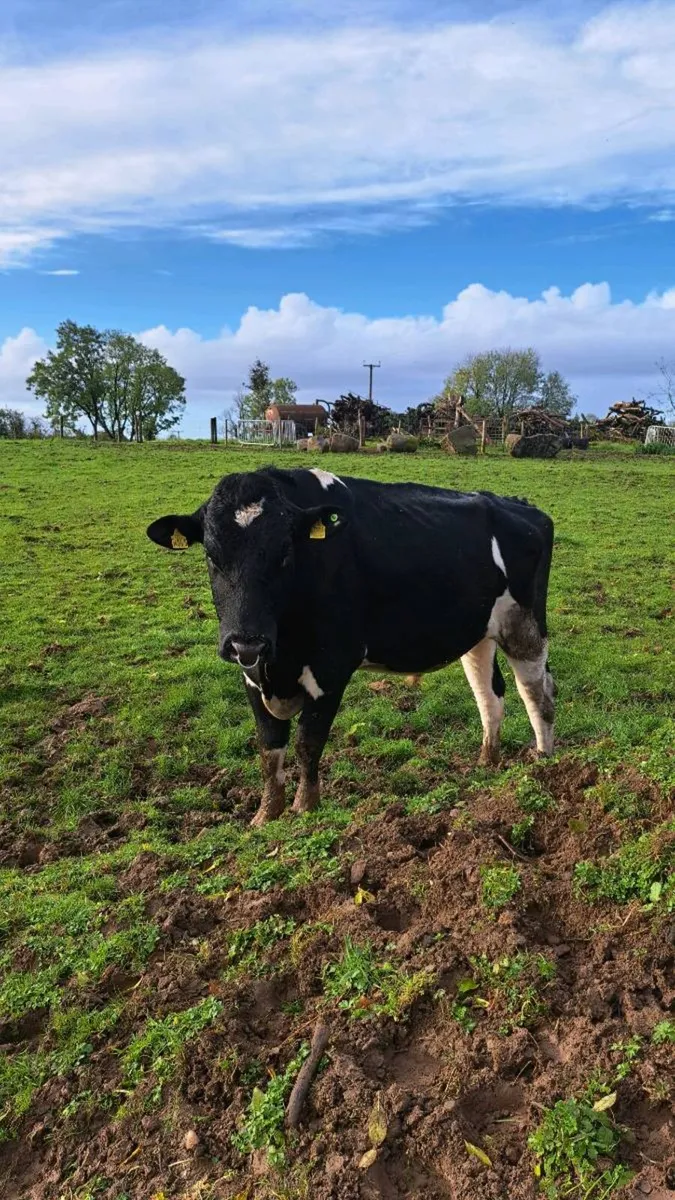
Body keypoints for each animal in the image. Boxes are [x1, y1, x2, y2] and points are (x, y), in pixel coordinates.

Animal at [147, 466, 556, 827]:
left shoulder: (331, 667)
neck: (281, 656)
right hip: (477, 634)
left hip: (525, 626)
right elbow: (269, 747)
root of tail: (521, 506)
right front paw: (266, 816)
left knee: (538, 696)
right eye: (211, 556)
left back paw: (544, 767)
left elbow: (307, 742)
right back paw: (487, 763)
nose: (244, 639)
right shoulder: (252, 673)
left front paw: (304, 809)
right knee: (490, 697)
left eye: (284, 554)